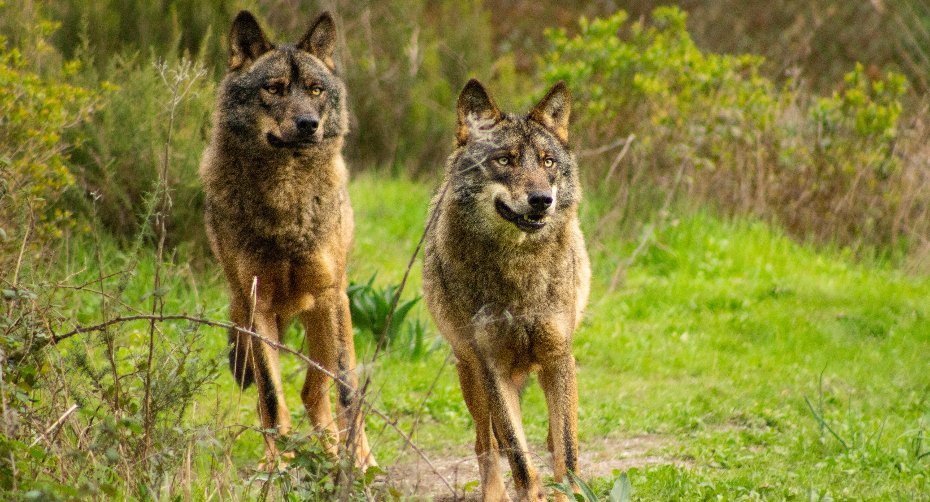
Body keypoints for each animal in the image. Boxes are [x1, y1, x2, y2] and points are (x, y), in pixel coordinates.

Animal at [199, 10, 375, 469]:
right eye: (274, 89)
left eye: (315, 90)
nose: (308, 125)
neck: (286, 204)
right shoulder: (257, 303)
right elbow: (271, 399)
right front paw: (279, 465)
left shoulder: (333, 296)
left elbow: (347, 392)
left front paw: (358, 462)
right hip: (252, 317)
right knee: (289, 394)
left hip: (325, 321)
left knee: (315, 391)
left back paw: (339, 455)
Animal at [422, 79, 590, 501]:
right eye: (505, 160)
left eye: (547, 162)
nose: (542, 200)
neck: (520, 271)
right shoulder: (491, 366)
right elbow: (517, 456)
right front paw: (530, 492)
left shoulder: (558, 355)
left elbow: (567, 453)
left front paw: (567, 492)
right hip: (470, 375)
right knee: (485, 442)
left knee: (553, 439)